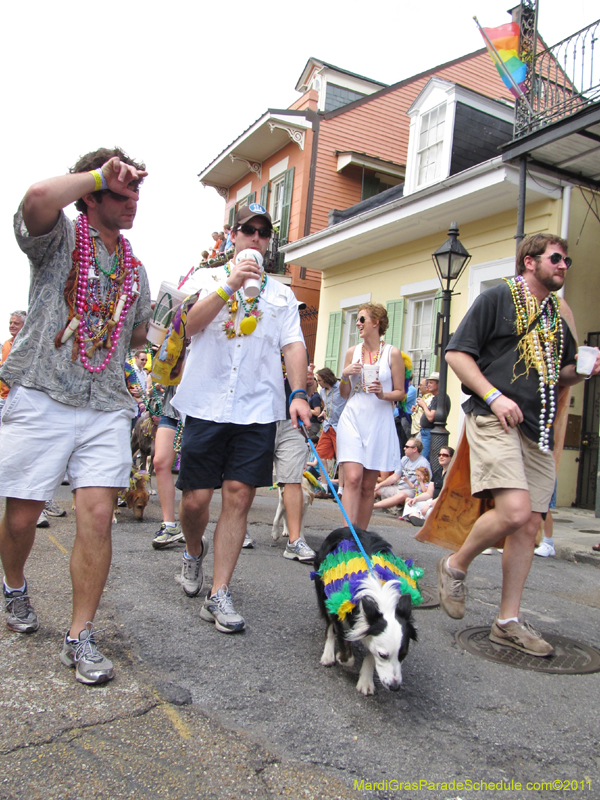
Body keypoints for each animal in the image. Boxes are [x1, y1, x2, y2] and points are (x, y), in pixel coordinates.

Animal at [312, 524, 420, 692]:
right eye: (383, 655)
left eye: (403, 655)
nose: (395, 687)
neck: (380, 594)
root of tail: (343, 528)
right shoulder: (340, 610)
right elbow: (346, 650)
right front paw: (342, 657)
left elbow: (370, 654)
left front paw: (366, 681)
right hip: (324, 591)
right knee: (329, 625)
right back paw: (328, 655)